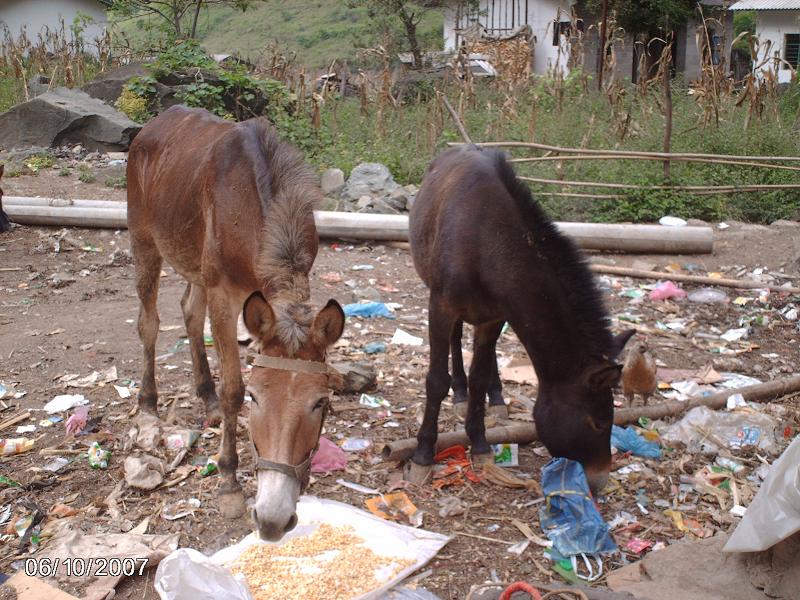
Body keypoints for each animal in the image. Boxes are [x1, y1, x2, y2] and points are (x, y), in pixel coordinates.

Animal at [128, 105, 344, 540]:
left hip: (192, 263)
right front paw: (228, 480)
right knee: (150, 322)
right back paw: (148, 406)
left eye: (321, 402)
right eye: (256, 398)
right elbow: (233, 388)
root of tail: (151, 126)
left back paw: (205, 396)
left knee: (189, 311)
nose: (274, 519)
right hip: (144, 242)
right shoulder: (224, 295)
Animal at [410, 145, 636, 492]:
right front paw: (423, 454)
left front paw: (480, 444)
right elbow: (436, 381)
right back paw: (459, 392)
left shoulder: (495, 316)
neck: (486, 242)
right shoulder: (441, 306)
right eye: (598, 423)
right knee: (455, 340)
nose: (598, 483)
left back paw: (496, 398)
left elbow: (479, 378)